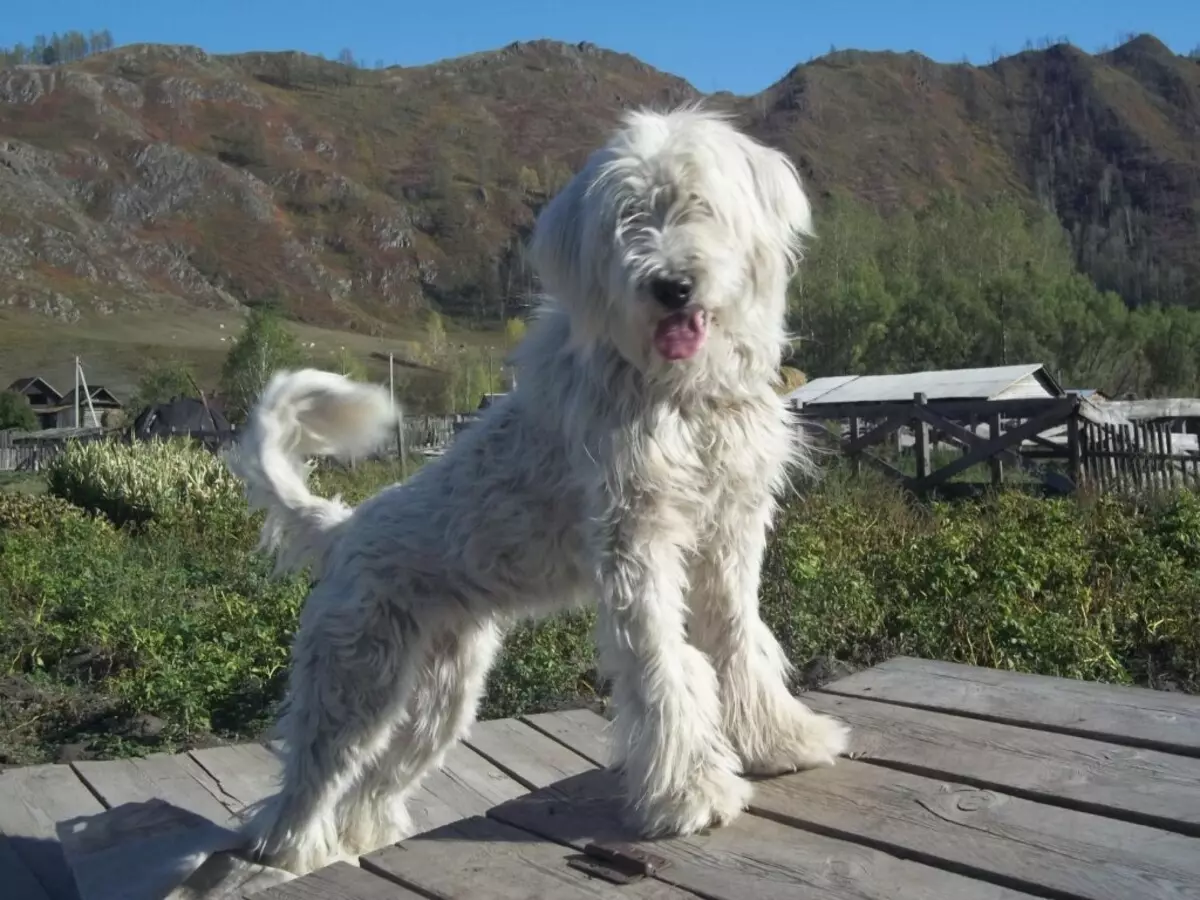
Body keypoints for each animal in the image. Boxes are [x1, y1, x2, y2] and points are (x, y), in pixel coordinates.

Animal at [225, 103, 844, 873]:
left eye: (699, 203)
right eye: (628, 218)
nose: (671, 285)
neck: (677, 396)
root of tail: (343, 529)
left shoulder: (730, 532)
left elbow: (740, 643)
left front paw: (780, 741)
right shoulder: (637, 547)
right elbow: (668, 670)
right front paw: (691, 793)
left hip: (439, 696)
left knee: (371, 790)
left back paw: (366, 840)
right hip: (353, 682)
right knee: (301, 796)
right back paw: (298, 857)